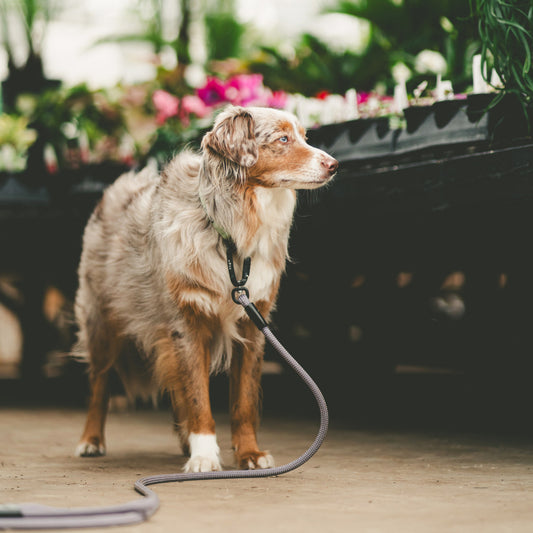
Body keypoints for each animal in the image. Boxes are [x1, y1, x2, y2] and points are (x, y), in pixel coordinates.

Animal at [74, 106, 336, 472]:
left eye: (304, 137)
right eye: (283, 139)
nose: (334, 164)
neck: (231, 232)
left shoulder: (253, 325)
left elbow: (242, 401)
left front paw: (249, 453)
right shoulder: (186, 324)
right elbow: (198, 396)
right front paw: (204, 456)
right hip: (101, 323)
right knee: (99, 384)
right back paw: (91, 440)